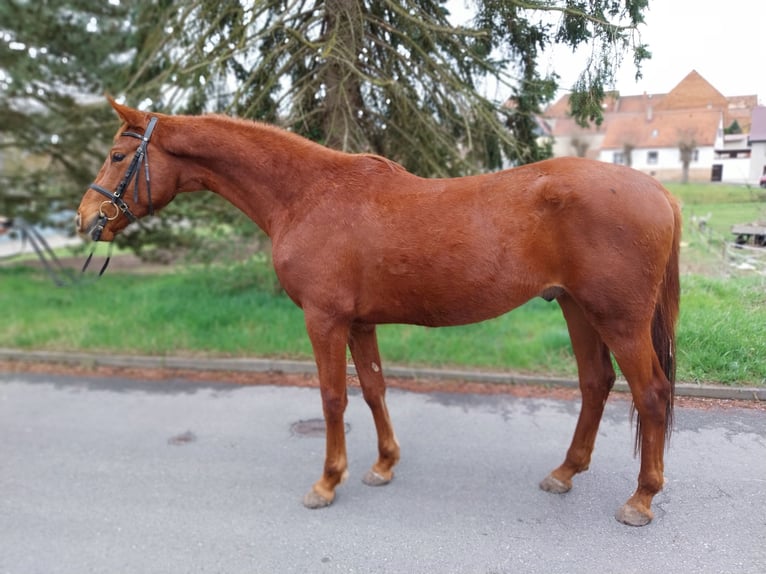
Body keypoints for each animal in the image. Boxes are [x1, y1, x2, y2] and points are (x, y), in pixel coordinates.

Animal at [76, 97, 681, 526]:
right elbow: (372, 388)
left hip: (618, 319)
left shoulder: (323, 319)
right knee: (596, 383)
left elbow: (332, 397)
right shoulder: (359, 322)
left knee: (650, 394)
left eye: (118, 156)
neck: (307, 195)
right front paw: (384, 465)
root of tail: (658, 191)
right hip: (576, 308)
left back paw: (641, 499)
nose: (85, 218)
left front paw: (327, 482)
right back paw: (564, 472)